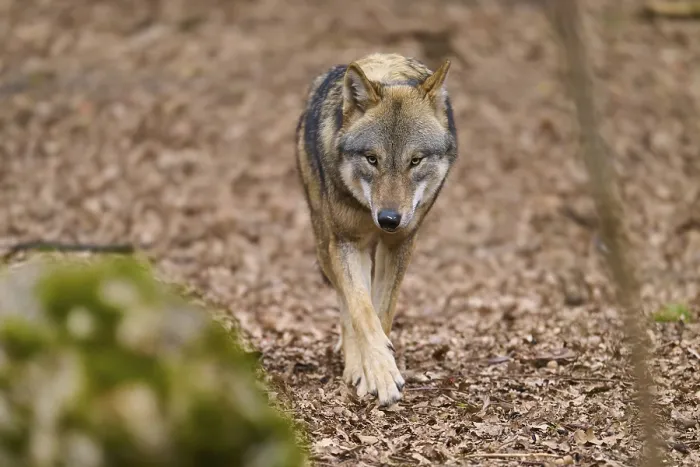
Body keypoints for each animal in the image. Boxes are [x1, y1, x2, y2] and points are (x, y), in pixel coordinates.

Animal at [295, 53, 458, 406]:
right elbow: (361, 311)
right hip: (324, 243)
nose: (389, 220)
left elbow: (382, 311)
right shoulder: (346, 243)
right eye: (372, 159)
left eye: (415, 161)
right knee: (345, 303)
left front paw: (380, 369)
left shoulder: (400, 243)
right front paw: (378, 374)